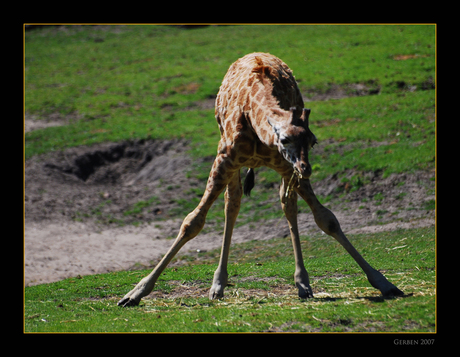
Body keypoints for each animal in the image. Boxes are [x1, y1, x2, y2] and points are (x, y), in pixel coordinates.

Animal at [117, 52, 402, 306]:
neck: (256, 123)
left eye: (313, 141)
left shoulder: (285, 167)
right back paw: (217, 285)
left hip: (280, 171)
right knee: (232, 204)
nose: (306, 168)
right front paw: (135, 293)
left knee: (286, 207)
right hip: (233, 161)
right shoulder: (225, 158)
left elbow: (327, 219)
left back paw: (302, 282)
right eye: (285, 139)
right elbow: (192, 222)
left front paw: (384, 282)